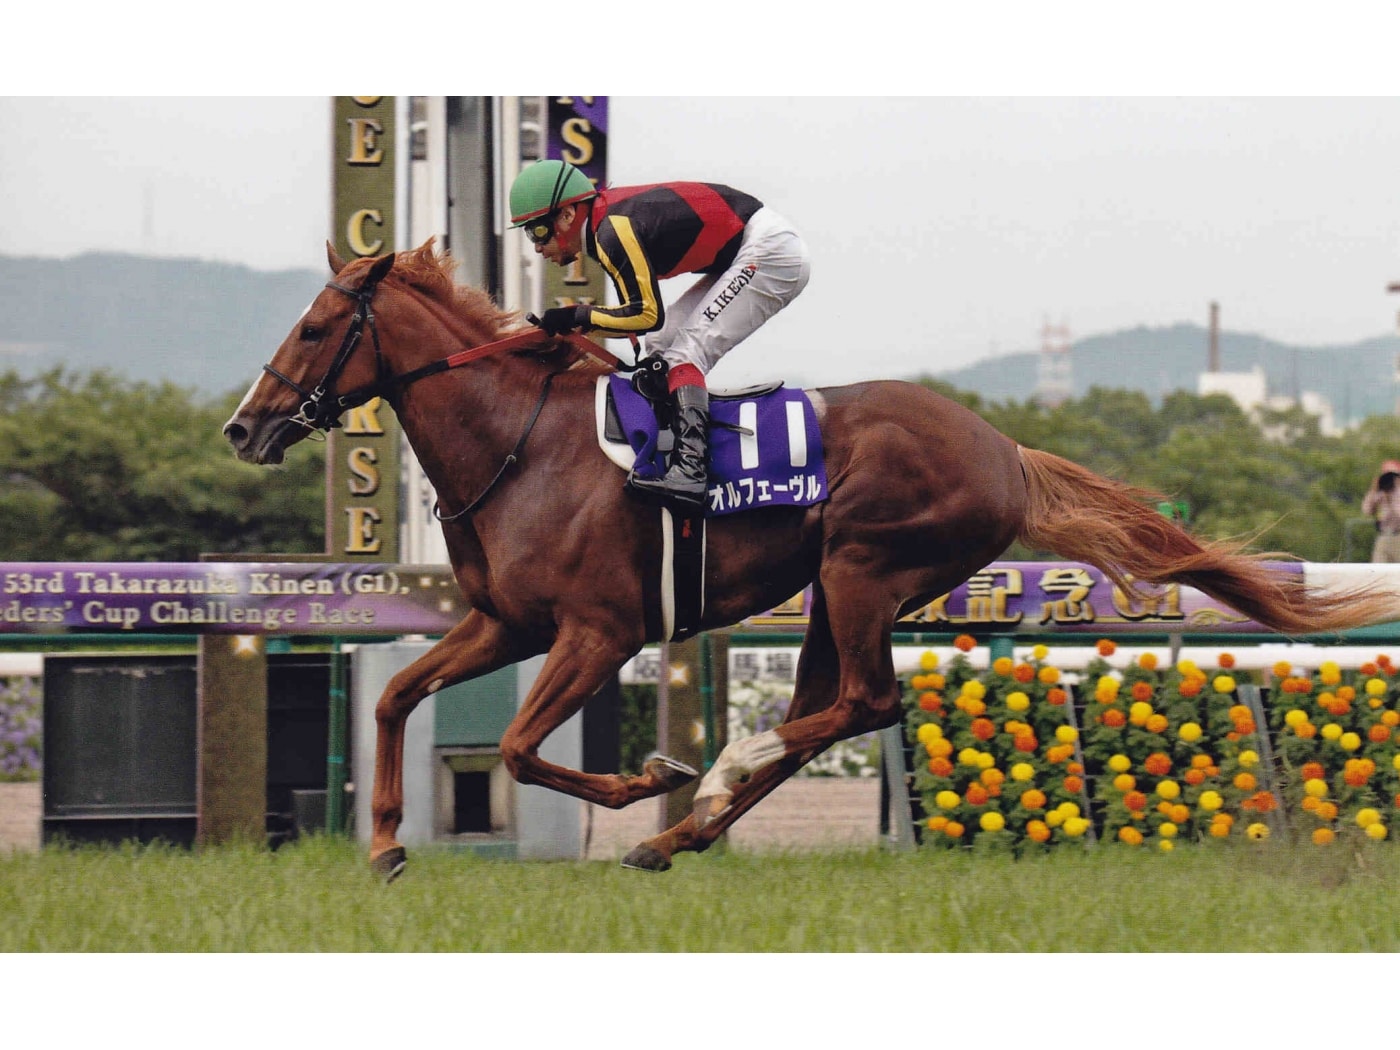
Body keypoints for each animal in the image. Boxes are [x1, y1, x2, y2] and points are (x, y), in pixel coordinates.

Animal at [225, 239, 1400, 877]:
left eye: (317, 326)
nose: (245, 428)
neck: (524, 443)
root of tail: (1003, 448)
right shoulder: (507, 622)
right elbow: (396, 699)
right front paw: (384, 845)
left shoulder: (598, 632)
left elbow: (515, 748)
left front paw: (650, 774)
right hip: (836, 595)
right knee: (828, 713)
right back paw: (678, 835)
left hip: (863, 571)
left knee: (861, 706)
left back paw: (708, 780)